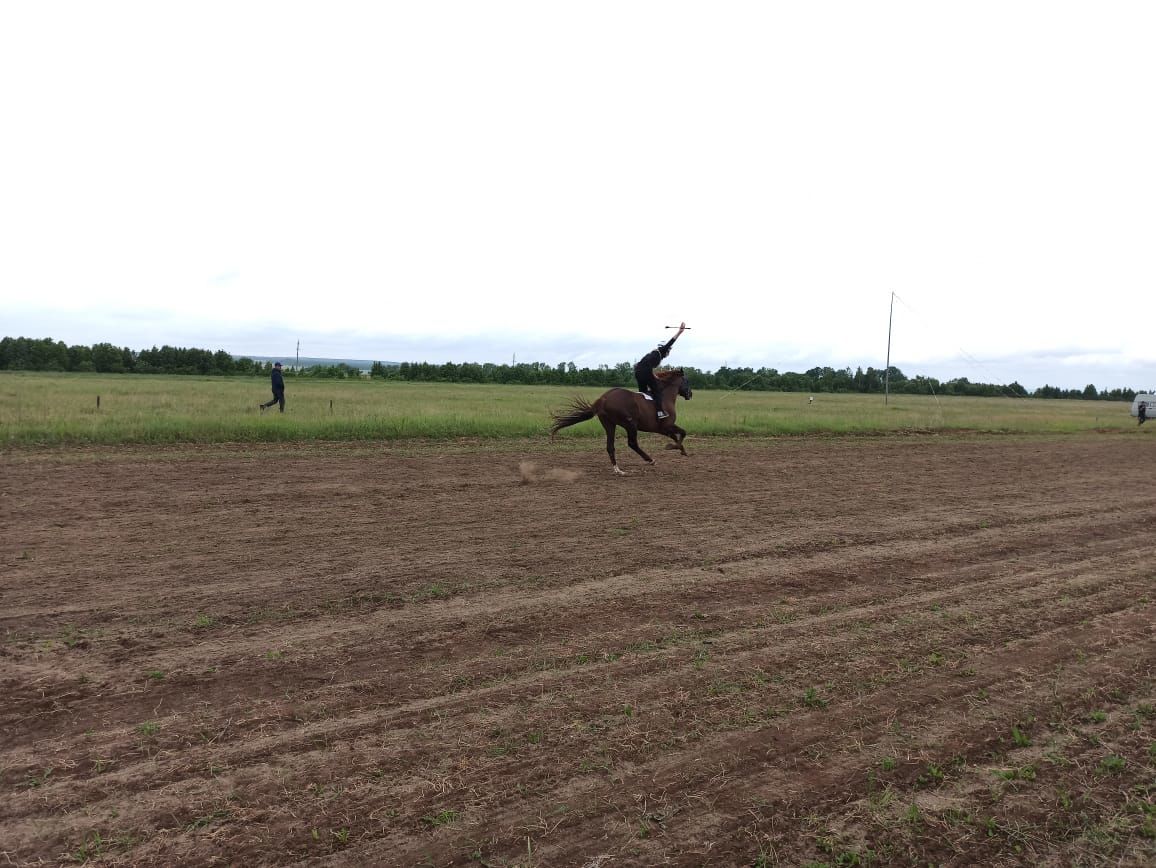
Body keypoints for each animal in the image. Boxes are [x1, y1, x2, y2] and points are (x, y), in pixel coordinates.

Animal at [545, 367, 688, 476]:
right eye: (686, 381)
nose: (690, 394)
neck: (664, 397)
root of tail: (603, 399)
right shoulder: (667, 426)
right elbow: (683, 433)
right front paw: (673, 447)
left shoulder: (663, 429)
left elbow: (677, 436)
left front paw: (681, 450)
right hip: (630, 425)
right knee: (632, 443)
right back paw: (650, 460)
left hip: (609, 424)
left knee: (610, 446)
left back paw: (618, 470)